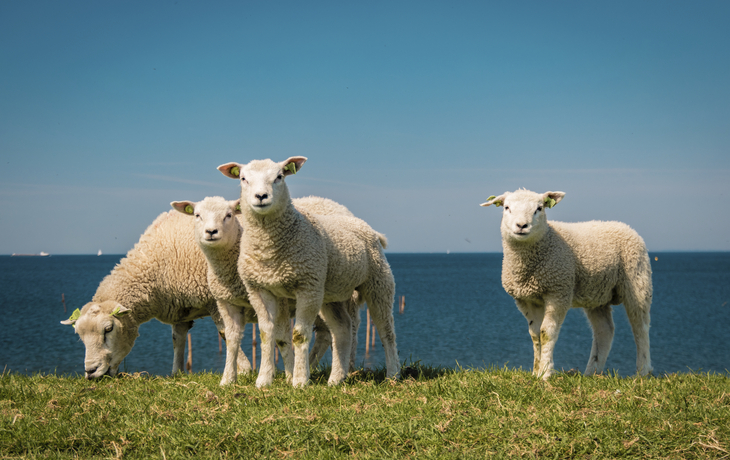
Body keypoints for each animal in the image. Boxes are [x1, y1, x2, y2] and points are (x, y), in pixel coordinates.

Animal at [170, 195, 362, 386]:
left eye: (229, 215)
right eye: (197, 215)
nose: (211, 232)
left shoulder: (280, 301)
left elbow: (282, 338)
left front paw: (289, 375)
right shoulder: (225, 301)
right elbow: (231, 339)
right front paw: (228, 379)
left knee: (349, 328)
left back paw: (346, 369)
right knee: (330, 331)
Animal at [218, 156, 399, 388]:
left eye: (279, 177)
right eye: (243, 179)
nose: (261, 197)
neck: (269, 248)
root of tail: (364, 225)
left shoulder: (307, 286)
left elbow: (299, 335)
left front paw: (300, 380)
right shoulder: (259, 289)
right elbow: (266, 333)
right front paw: (263, 380)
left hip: (378, 281)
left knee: (386, 330)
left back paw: (393, 374)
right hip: (331, 293)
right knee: (342, 329)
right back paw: (336, 379)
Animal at [480, 189, 652, 379]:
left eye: (539, 208)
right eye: (506, 207)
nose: (521, 225)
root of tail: (624, 226)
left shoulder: (558, 291)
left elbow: (546, 333)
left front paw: (546, 373)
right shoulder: (526, 299)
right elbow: (535, 334)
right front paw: (536, 372)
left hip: (637, 281)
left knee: (641, 327)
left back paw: (643, 371)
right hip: (597, 295)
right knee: (604, 331)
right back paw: (592, 372)